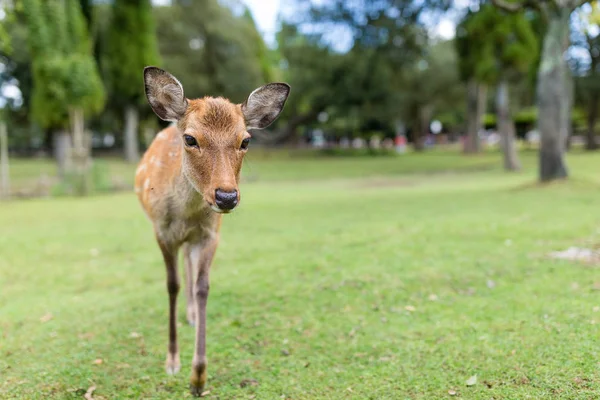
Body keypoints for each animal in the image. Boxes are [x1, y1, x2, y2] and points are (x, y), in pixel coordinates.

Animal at [135, 67, 290, 396]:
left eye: (245, 141)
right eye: (190, 138)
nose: (226, 196)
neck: (185, 214)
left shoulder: (210, 234)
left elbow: (203, 287)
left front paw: (198, 377)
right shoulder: (162, 232)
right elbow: (171, 285)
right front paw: (172, 362)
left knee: (189, 265)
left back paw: (192, 316)